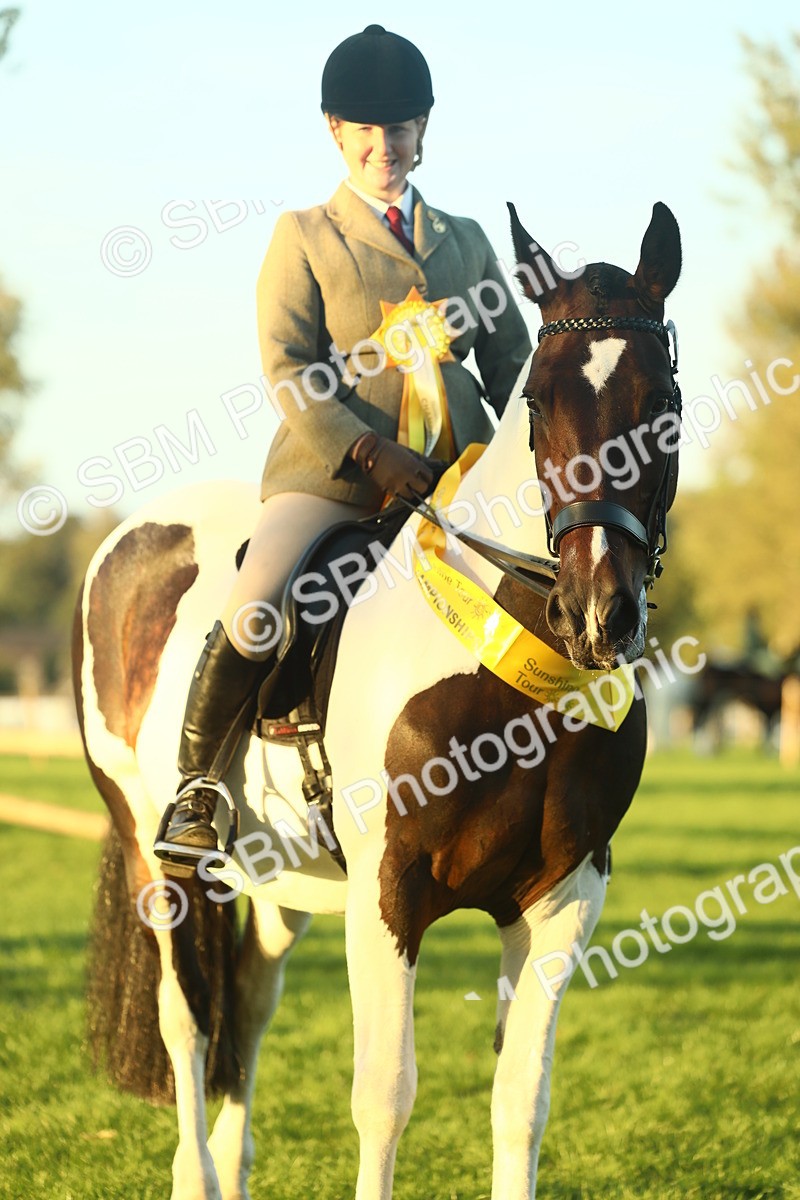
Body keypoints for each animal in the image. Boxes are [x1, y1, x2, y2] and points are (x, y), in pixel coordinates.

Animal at [73, 200, 682, 1200]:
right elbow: (386, 1096)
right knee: (187, 1018)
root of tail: (131, 536)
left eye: (660, 402)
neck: (510, 687)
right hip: (153, 851)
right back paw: (197, 1172)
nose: (600, 612)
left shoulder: (564, 897)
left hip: (281, 883)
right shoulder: (388, 892)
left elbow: (522, 1102)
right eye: (537, 402)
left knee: (247, 1005)